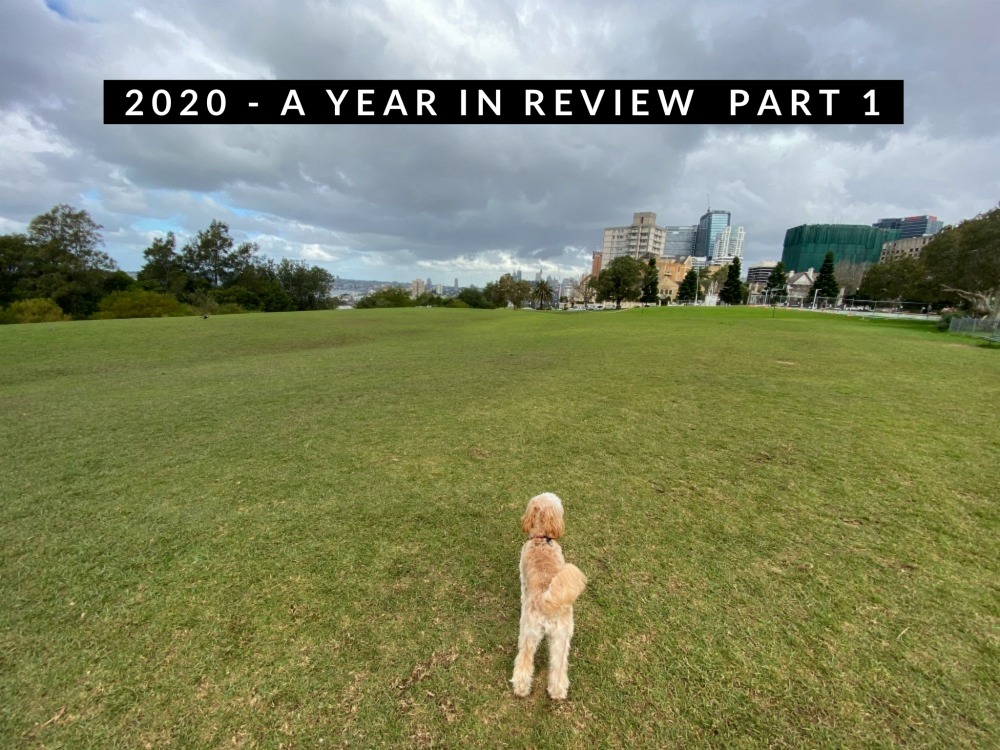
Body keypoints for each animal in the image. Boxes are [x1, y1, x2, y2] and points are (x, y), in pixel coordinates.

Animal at [516, 494, 584, 700]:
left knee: (524, 660)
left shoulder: (523, 578)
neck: (542, 538)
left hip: (528, 632)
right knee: (559, 667)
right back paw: (557, 692)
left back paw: (520, 688)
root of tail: (546, 603)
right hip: (562, 638)